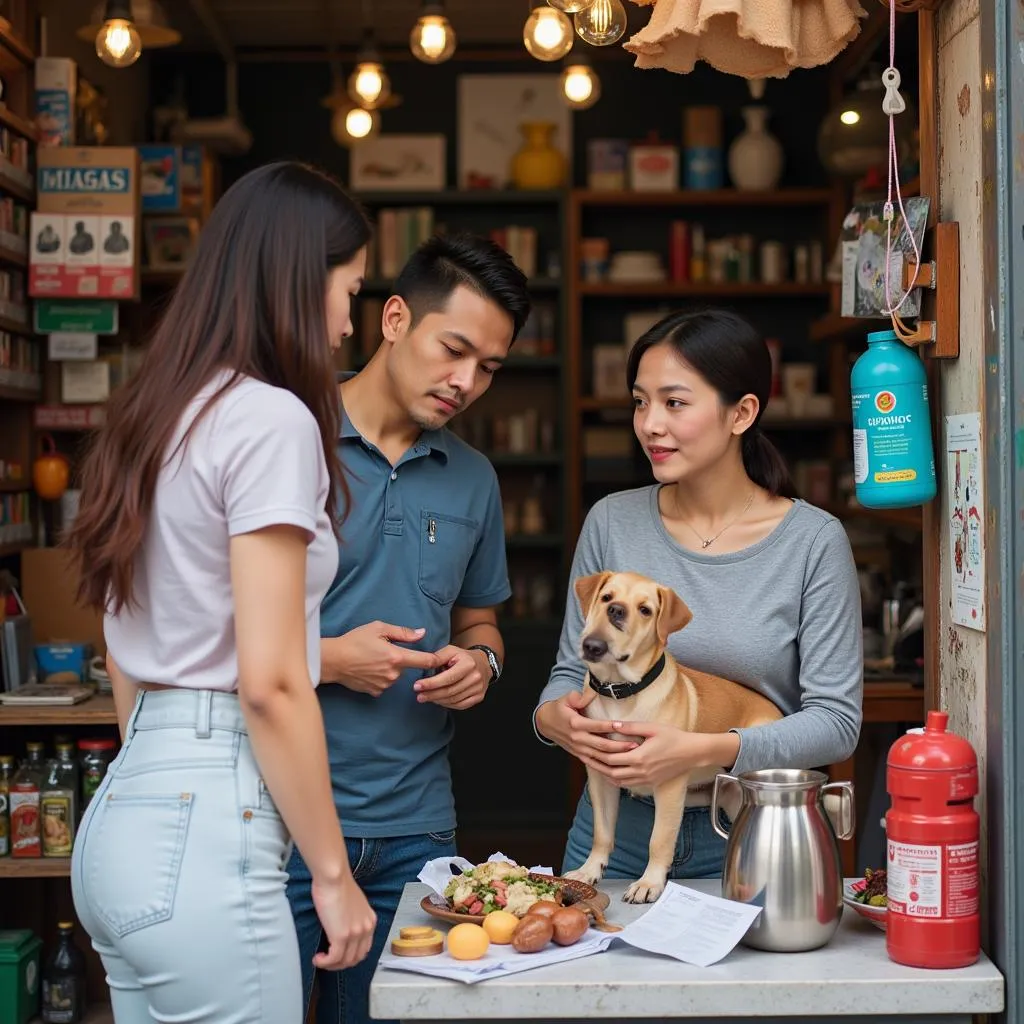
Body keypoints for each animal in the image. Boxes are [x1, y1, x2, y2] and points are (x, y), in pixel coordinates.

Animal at [565, 569, 778, 905]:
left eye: (645, 610)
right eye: (607, 597)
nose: (615, 611)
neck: (622, 693)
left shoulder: (668, 784)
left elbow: (659, 840)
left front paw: (649, 883)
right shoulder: (601, 776)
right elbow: (602, 832)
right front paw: (589, 870)